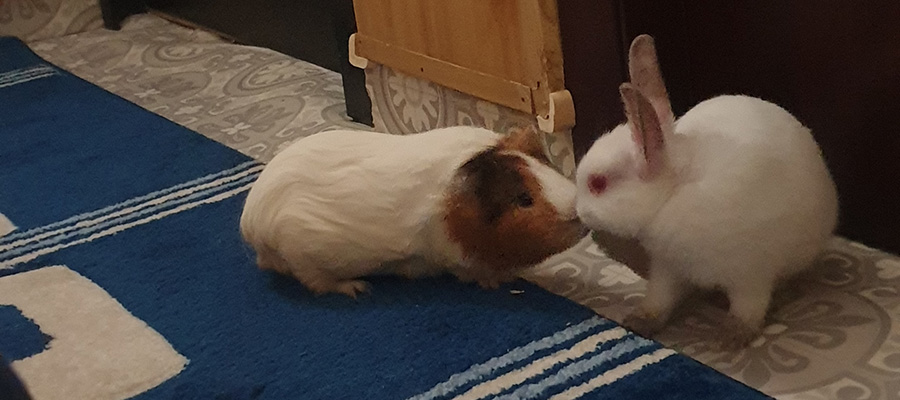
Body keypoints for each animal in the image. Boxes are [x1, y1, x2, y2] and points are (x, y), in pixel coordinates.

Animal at [240, 126, 585, 298]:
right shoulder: (452, 256)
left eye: (549, 168)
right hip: (308, 259)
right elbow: (470, 271)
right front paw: (495, 283)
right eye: (524, 199)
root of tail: (253, 222)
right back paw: (357, 289)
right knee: (317, 284)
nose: (579, 215)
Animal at [575, 34, 839, 347]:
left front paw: (732, 338)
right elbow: (659, 299)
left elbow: (749, 308)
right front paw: (639, 322)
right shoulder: (668, 268)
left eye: (598, 183)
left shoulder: (751, 275)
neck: (673, 191)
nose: (577, 211)